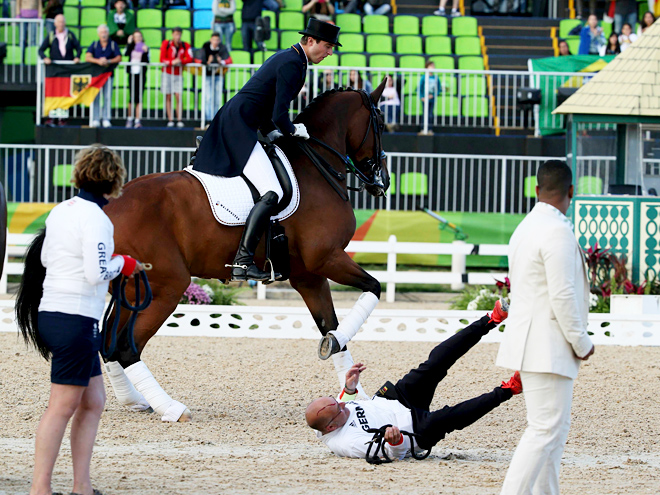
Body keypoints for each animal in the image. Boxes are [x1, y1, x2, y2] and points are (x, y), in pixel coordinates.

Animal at [91, 79, 392, 420]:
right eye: (381, 123)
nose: (383, 181)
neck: (315, 167)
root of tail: (108, 206)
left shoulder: (309, 276)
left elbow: (330, 323)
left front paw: (355, 389)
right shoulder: (327, 258)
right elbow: (373, 287)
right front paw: (337, 346)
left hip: (130, 291)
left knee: (110, 343)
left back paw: (133, 400)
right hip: (166, 287)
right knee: (127, 347)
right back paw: (170, 407)